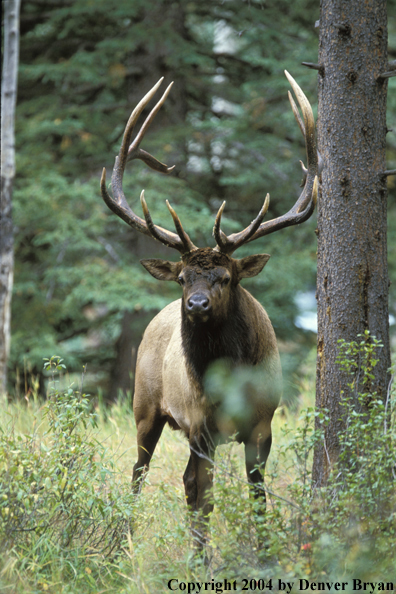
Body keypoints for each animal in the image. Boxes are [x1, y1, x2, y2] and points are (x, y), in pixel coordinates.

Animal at [100, 73, 318, 552]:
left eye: (226, 276)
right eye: (183, 277)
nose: (196, 305)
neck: (231, 378)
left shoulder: (263, 423)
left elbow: (257, 495)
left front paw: (263, 550)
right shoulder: (201, 426)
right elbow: (206, 498)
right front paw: (200, 557)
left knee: (181, 481)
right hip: (144, 407)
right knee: (140, 473)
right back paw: (123, 540)